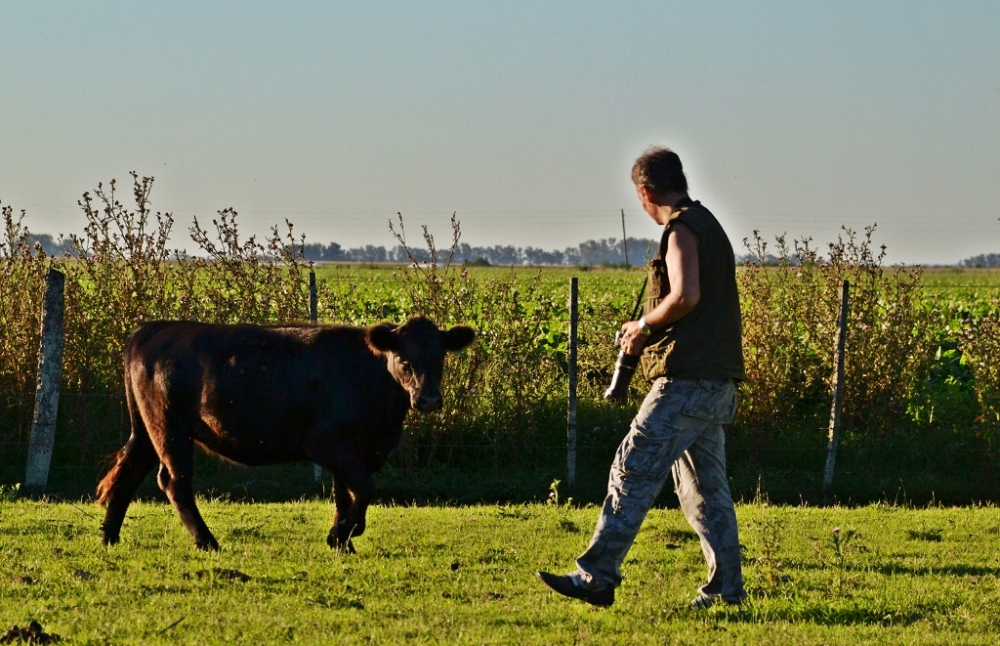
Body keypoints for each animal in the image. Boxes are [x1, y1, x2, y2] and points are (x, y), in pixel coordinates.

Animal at [97, 316, 476, 556]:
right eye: (403, 358)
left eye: (440, 358)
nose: (429, 399)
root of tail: (154, 328)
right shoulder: (327, 444)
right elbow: (364, 489)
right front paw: (340, 534)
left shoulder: (352, 451)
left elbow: (346, 495)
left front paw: (345, 541)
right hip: (170, 430)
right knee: (175, 482)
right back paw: (207, 541)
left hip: (149, 431)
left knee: (130, 472)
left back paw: (109, 536)